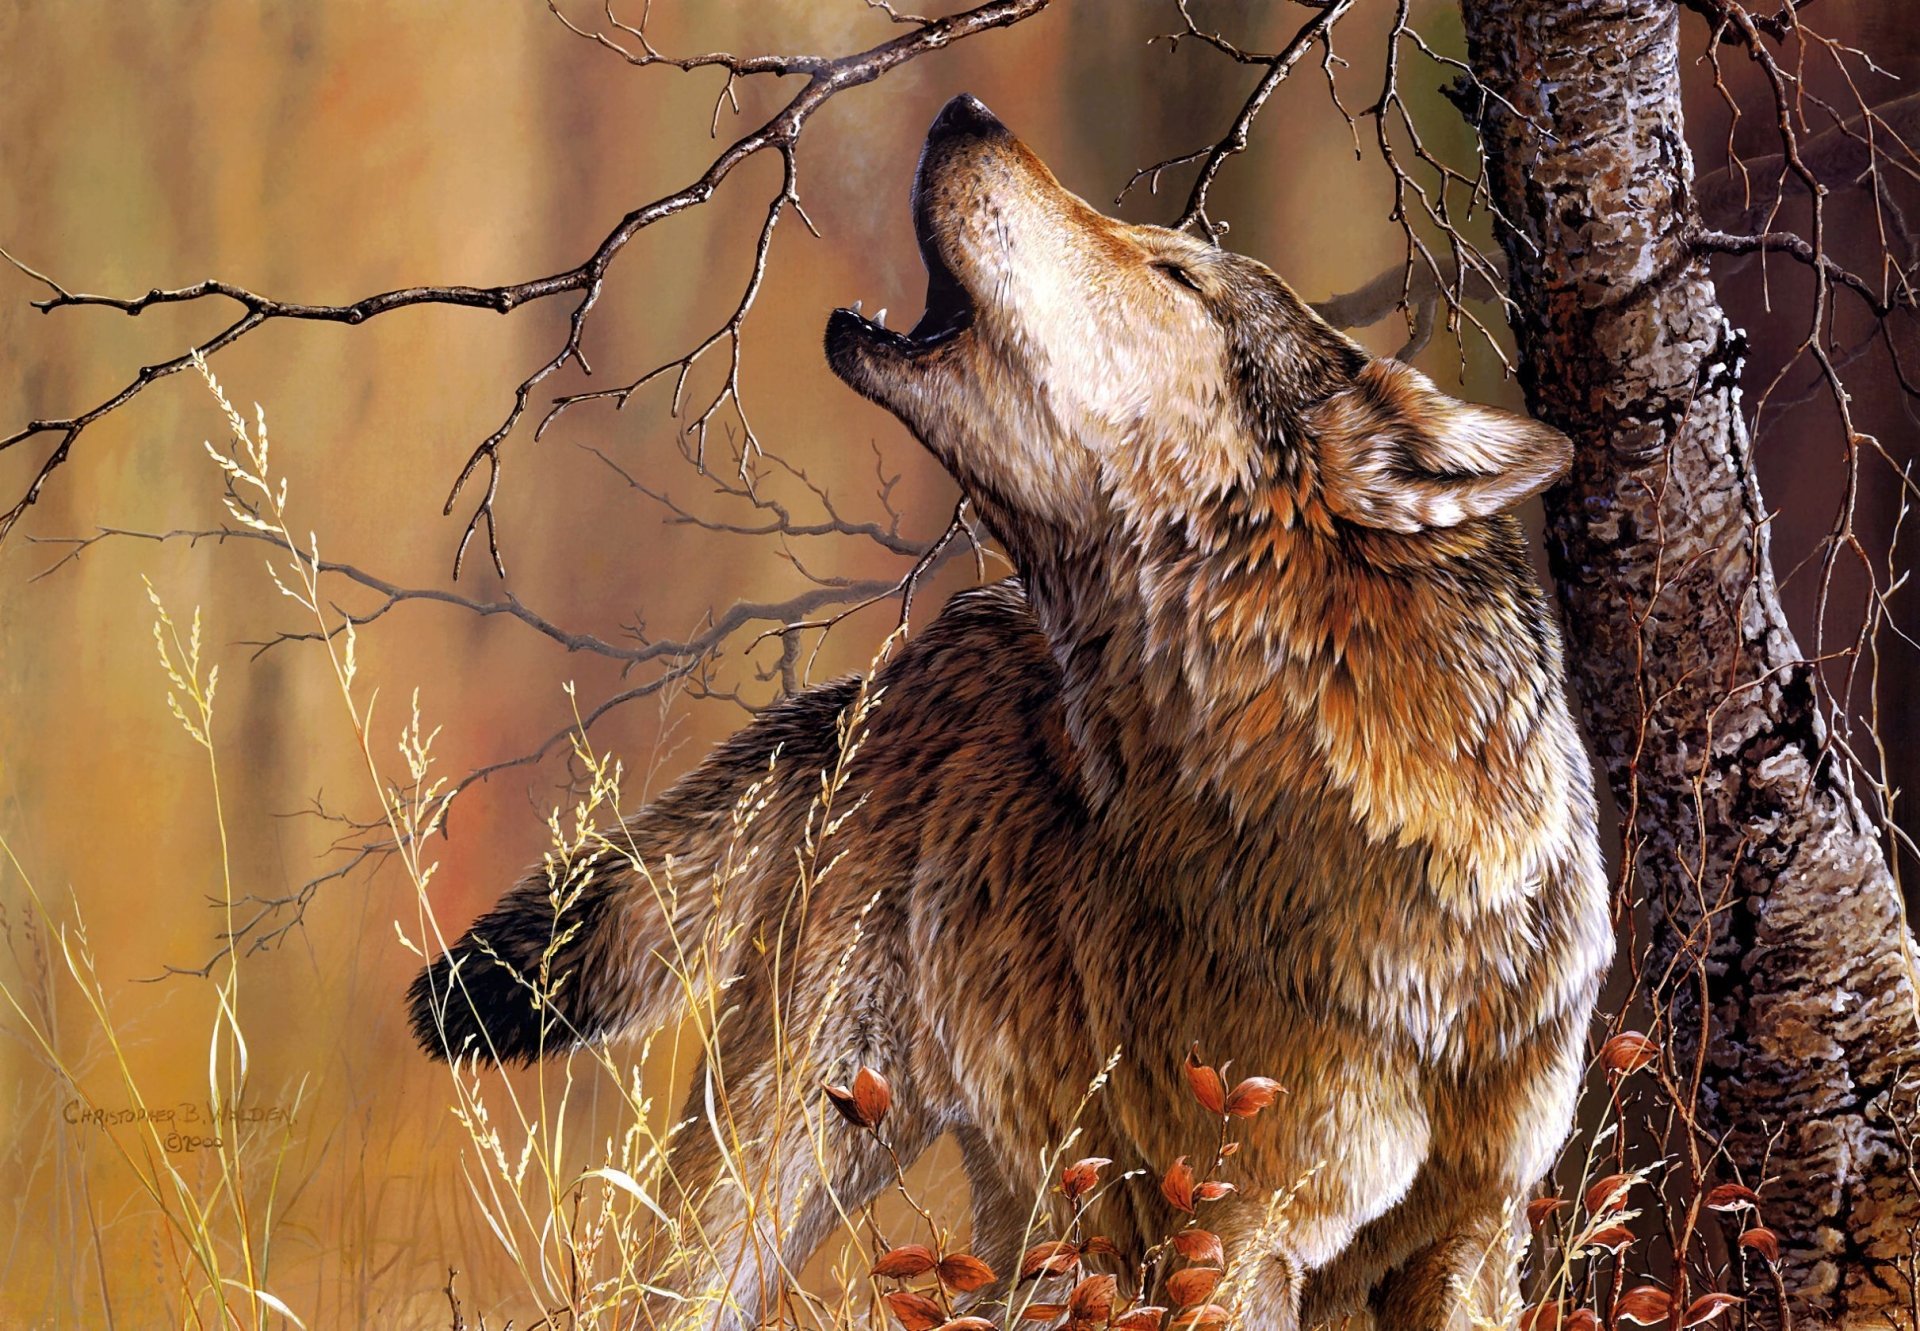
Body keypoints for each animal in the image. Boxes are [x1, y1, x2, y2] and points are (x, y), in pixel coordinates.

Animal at [409, 94, 1611, 1330]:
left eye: (1176, 273)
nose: (965, 109)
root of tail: (900, 662)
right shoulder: (1227, 1234)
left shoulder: (1475, 1234)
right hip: (785, 1161)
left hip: (1036, 1214)